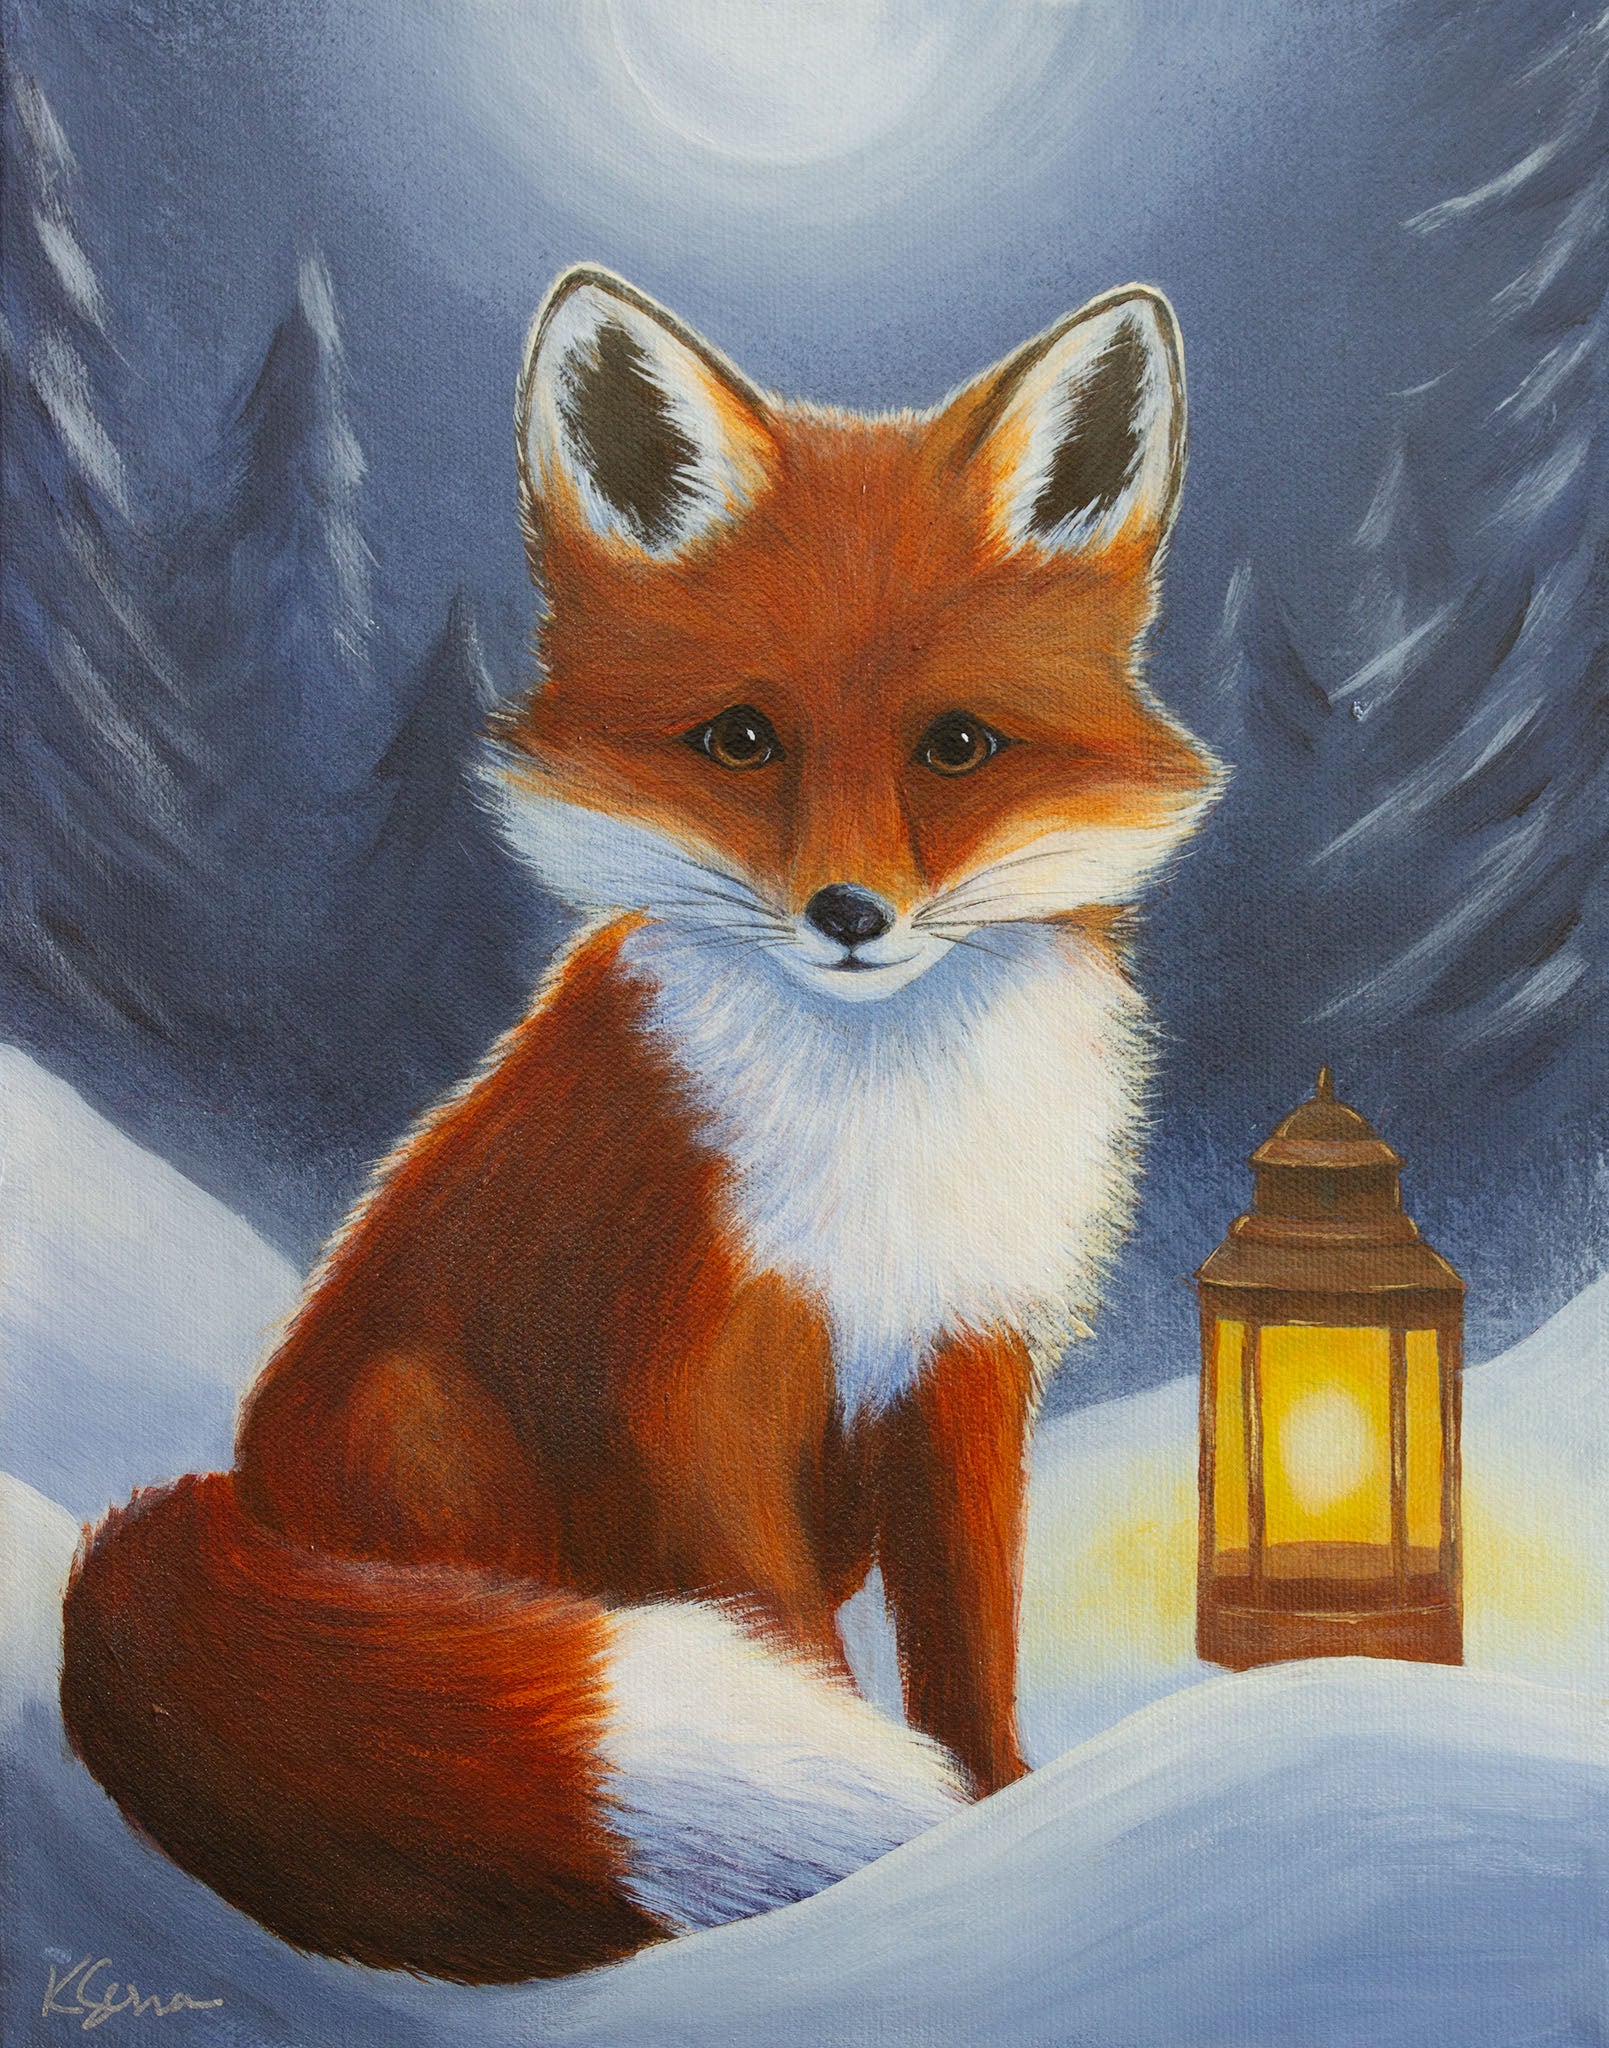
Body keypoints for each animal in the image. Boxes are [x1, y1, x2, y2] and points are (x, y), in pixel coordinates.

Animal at [59, 266, 1219, 1984]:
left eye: (955, 746)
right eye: (741, 740)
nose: (851, 915)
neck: (878, 1132)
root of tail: (231, 1499)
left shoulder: (961, 1363)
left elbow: (967, 1647)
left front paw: (998, 1817)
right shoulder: (701, 1374)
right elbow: (789, 1643)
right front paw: (875, 1871)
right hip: (428, 1423)